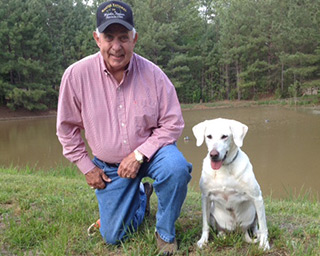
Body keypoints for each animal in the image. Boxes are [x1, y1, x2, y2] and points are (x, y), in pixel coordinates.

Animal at [192, 118, 270, 250]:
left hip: (255, 209)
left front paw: (264, 244)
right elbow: (205, 224)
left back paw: (257, 234)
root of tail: (240, 230)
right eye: (209, 136)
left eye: (224, 136)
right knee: (219, 229)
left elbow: (263, 225)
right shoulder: (205, 198)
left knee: (256, 225)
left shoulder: (257, 197)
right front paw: (203, 240)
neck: (223, 168)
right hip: (212, 211)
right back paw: (221, 235)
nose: (213, 154)